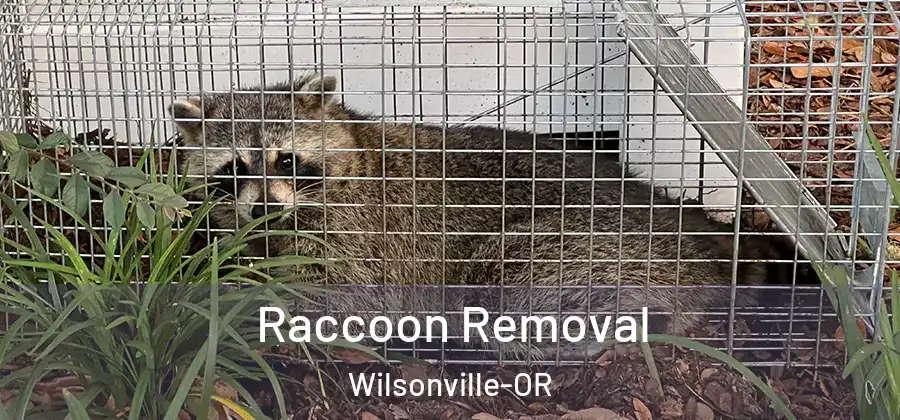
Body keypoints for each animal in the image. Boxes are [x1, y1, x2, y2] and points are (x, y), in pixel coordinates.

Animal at [168, 73, 800, 360]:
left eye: (287, 159)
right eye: (234, 169)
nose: (266, 206)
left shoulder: (363, 235)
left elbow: (339, 296)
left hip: (577, 246)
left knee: (514, 289)